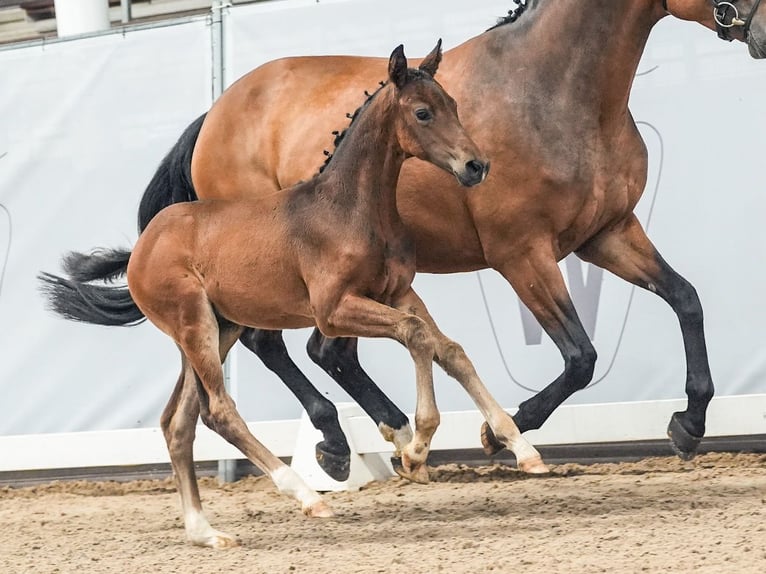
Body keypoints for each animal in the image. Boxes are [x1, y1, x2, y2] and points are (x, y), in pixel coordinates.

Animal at [40, 45, 552, 548]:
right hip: (195, 326)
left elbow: (449, 349)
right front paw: (415, 449)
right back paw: (307, 496)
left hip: (215, 329)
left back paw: (205, 531)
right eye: (422, 112)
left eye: (454, 106)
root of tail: (144, 244)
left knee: (178, 422)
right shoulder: (333, 310)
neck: (350, 209)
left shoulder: (399, 292)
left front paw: (522, 449)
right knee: (219, 411)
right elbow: (416, 337)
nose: (476, 166)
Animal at [54, 1, 766, 482]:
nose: (758, 28)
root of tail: (215, 113)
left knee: (323, 351)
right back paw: (345, 442)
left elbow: (685, 298)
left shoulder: (607, 235)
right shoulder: (522, 254)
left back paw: (384, 435)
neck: (554, 90)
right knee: (279, 346)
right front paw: (499, 435)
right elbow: (581, 358)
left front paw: (688, 425)